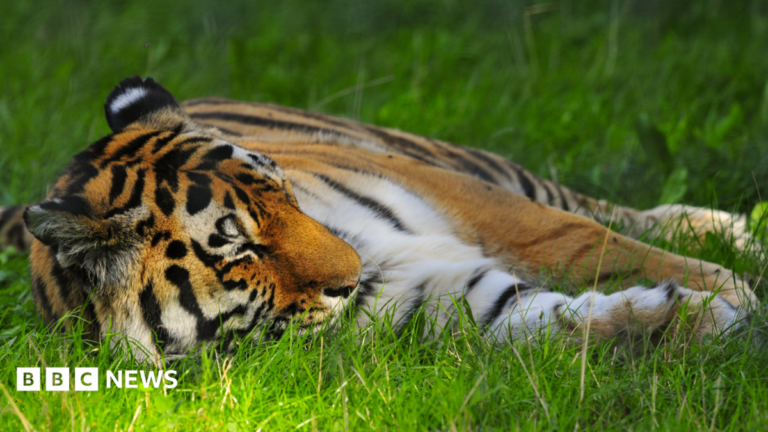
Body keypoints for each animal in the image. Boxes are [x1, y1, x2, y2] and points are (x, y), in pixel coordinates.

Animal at [0, 76, 759, 361]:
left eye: (285, 195)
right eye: (238, 248)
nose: (353, 273)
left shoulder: (471, 199)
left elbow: (580, 242)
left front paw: (730, 291)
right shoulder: (449, 302)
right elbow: (557, 321)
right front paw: (705, 317)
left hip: (465, 162)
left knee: (599, 208)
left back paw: (735, 232)